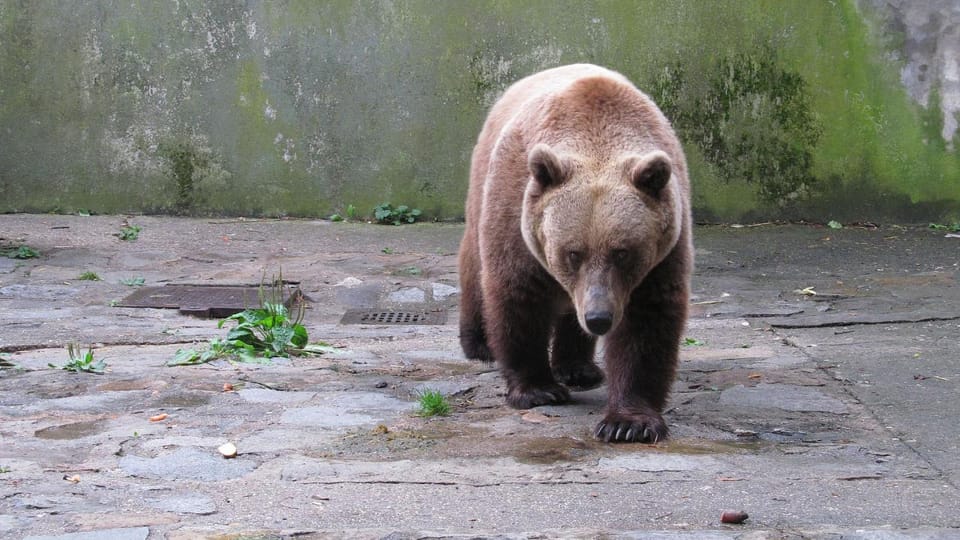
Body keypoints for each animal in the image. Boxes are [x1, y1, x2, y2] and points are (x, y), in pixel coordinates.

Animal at [458, 64, 692, 443]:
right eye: (572, 253)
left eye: (622, 253)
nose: (599, 317)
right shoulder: (517, 210)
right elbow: (517, 293)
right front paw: (537, 389)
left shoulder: (664, 245)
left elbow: (647, 321)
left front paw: (629, 423)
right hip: (482, 182)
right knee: (474, 263)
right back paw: (479, 344)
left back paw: (578, 368)